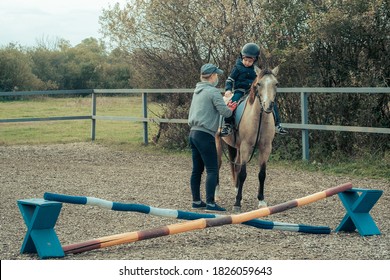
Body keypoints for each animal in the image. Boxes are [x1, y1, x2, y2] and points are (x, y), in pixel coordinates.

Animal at [215, 65, 278, 212]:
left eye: (276, 84)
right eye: (259, 84)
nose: (268, 105)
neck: (258, 119)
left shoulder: (266, 148)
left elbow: (262, 174)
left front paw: (261, 201)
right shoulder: (246, 147)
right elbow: (243, 174)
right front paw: (237, 203)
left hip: (237, 148)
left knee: (236, 167)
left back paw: (237, 190)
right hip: (218, 142)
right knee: (218, 164)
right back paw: (216, 194)